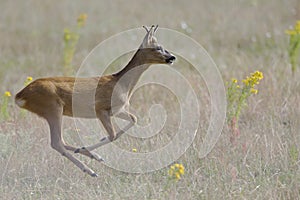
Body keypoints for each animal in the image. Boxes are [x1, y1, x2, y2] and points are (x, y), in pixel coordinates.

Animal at [14, 25, 176, 177]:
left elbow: (133, 120)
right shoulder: (100, 110)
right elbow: (113, 135)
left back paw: (91, 156)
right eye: (158, 47)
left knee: (60, 141)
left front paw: (90, 147)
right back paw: (90, 169)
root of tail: (20, 95)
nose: (172, 57)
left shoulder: (117, 110)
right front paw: (89, 148)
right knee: (57, 142)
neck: (121, 84)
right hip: (53, 109)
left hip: (52, 112)